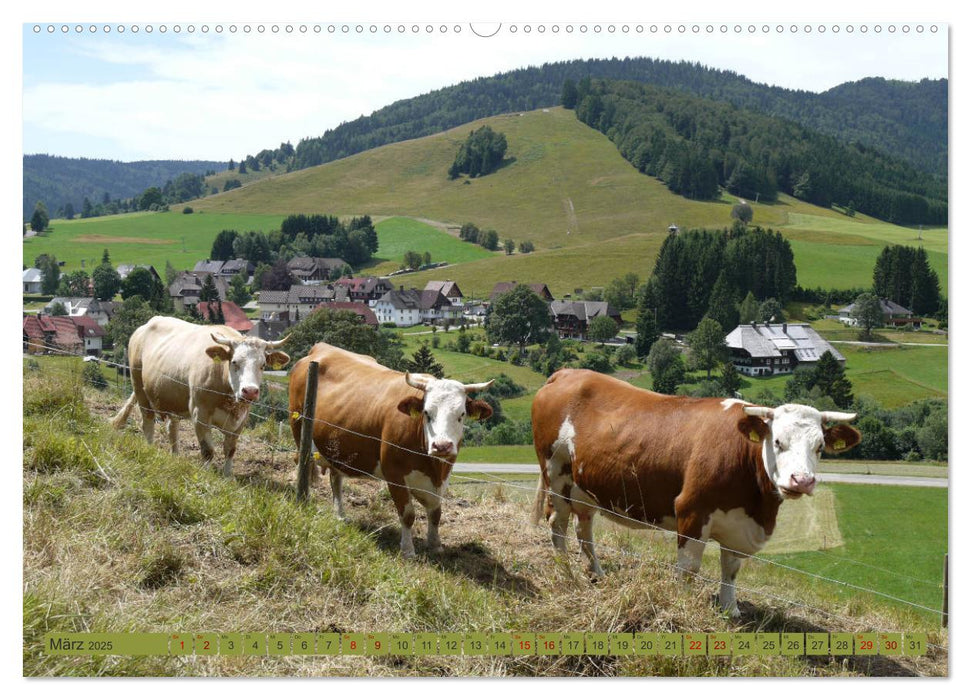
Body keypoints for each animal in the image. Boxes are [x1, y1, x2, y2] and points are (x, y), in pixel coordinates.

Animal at [111, 318, 288, 476]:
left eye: (263, 365)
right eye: (234, 362)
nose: (250, 391)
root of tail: (147, 324)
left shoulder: (241, 420)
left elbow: (230, 450)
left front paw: (228, 477)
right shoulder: (200, 413)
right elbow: (208, 450)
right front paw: (206, 475)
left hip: (173, 398)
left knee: (172, 428)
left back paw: (175, 456)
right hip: (139, 386)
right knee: (147, 423)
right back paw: (149, 449)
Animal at [284, 344, 490, 556]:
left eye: (461, 414)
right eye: (426, 413)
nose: (441, 446)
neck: (433, 468)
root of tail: (322, 347)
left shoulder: (442, 476)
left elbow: (435, 512)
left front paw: (435, 544)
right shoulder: (394, 473)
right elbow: (407, 514)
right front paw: (407, 550)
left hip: (338, 448)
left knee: (336, 479)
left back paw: (340, 515)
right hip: (299, 430)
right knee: (303, 465)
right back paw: (304, 502)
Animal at [532, 370, 860, 616]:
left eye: (820, 447)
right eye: (778, 441)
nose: (802, 480)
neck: (758, 508)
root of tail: (568, 373)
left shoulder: (738, 525)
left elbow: (731, 569)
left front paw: (730, 609)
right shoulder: (692, 510)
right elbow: (688, 568)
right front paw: (682, 605)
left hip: (584, 487)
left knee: (583, 527)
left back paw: (596, 573)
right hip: (555, 475)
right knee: (558, 525)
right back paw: (566, 573)